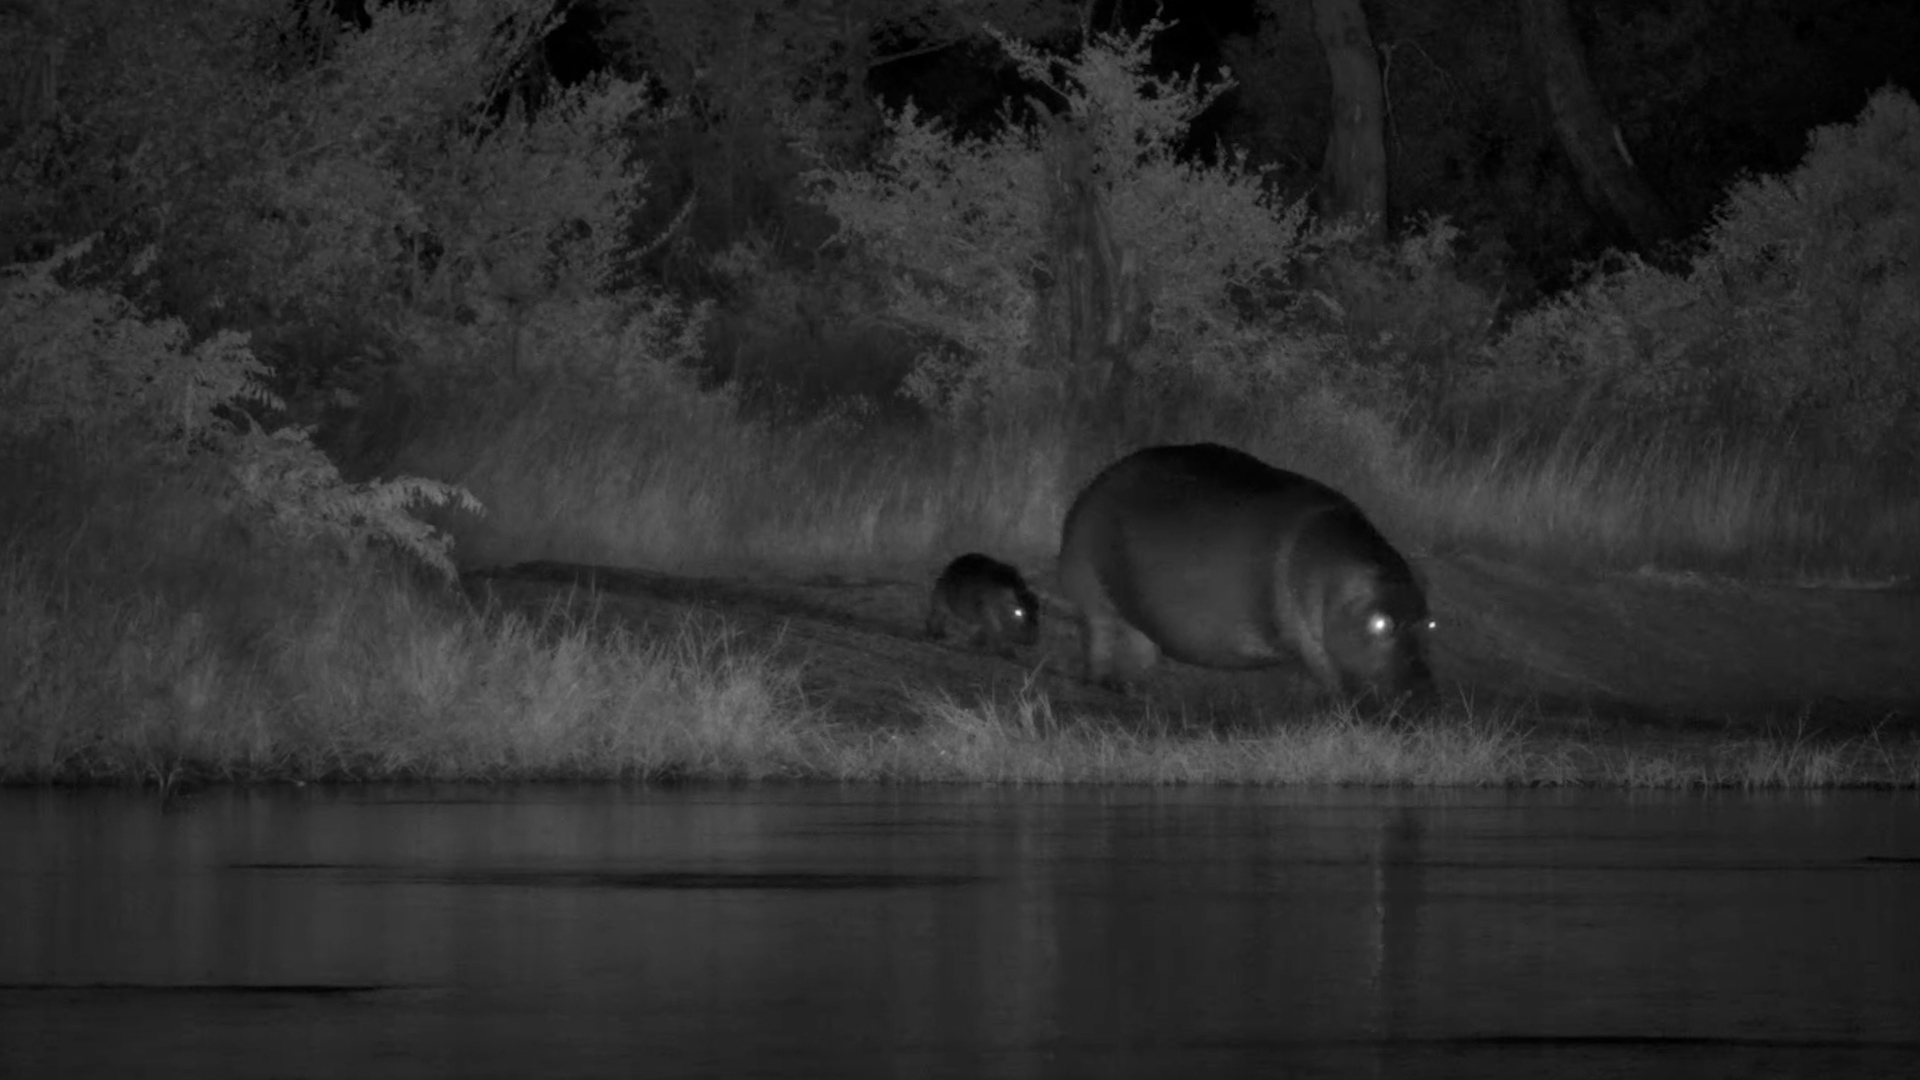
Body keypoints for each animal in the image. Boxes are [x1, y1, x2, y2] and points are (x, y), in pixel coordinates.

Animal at [1058, 443, 1433, 702]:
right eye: (1380, 624)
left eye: (1429, 622)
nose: (1421, 692)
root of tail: (1093, 484)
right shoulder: (1313, 641)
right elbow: (1332, 676)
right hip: (1089, 585)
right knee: (1099, 636)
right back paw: (1100, 686)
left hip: (1137, 611)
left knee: (1139, 646)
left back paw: (1135, 690)